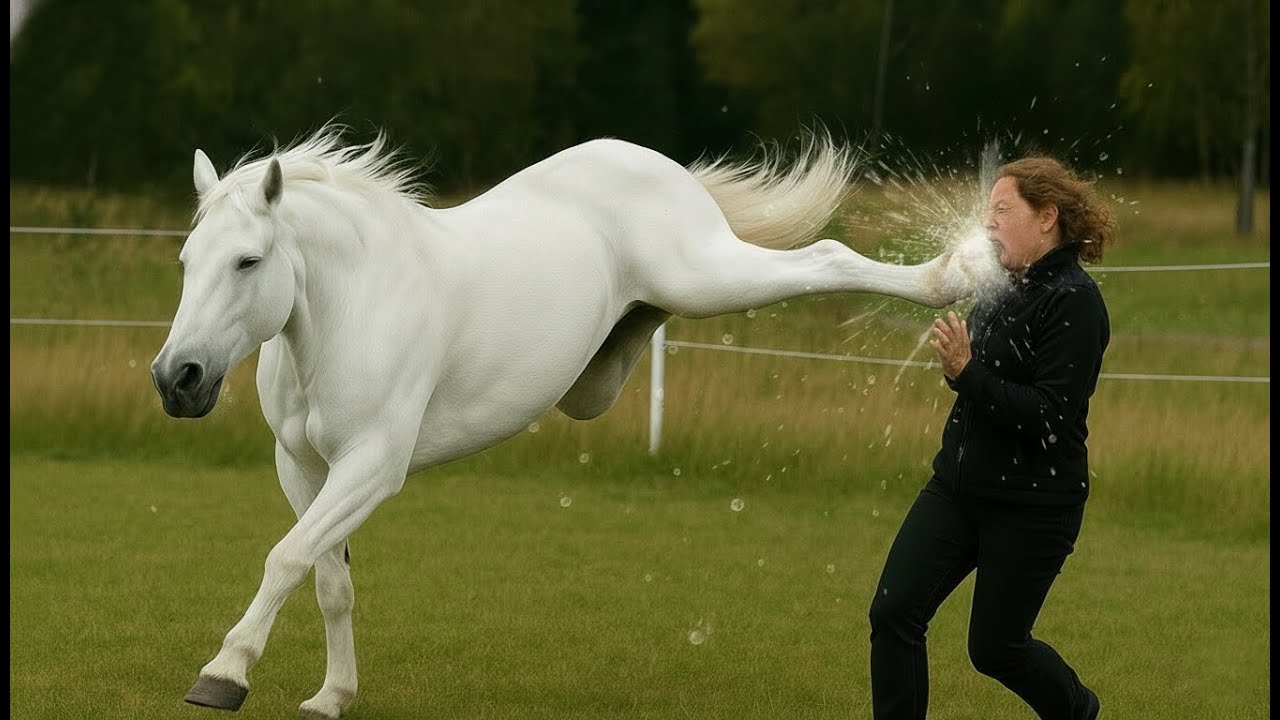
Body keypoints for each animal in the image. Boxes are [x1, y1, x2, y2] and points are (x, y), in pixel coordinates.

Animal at [150, 125, 988, 719]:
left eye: (249, 261)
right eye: (187, 261)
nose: (176, 379)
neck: (351, 305)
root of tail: (662, 167)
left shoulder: (371, 467)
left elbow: (285, 559)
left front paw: (223, 673)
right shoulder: (303, 467)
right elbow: (327, 579)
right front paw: (332, 697)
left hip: (710, 276)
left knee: (824, 258)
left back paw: (952, 273)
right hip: (619, 356)